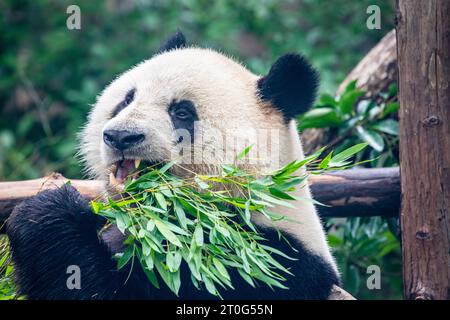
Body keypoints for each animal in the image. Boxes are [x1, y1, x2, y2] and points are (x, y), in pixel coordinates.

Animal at [6, 31, 338, 298]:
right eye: (127, 99)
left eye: (182, 112)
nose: (121, 136)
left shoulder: (250, 262)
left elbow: (103, 287)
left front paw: (49, 211)